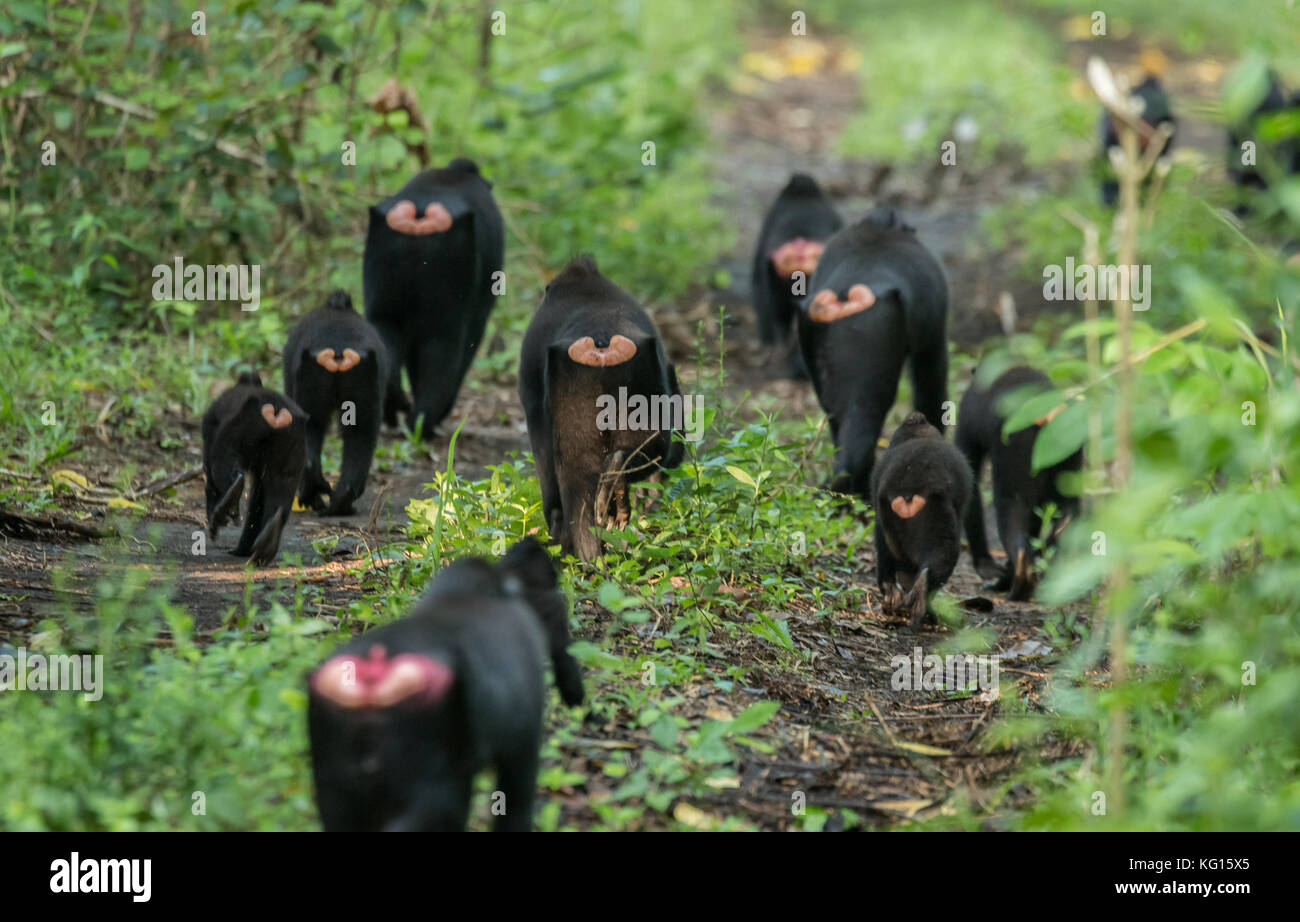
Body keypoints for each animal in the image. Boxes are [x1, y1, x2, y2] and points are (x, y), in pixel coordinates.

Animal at [201, 372, 306, 565]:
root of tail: (276, 413)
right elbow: (258, 497)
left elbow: (210, 480)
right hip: (291, 451)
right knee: (280, 494)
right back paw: (264, 545)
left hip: (238, 433)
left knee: (222, 470)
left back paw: (226, 508)